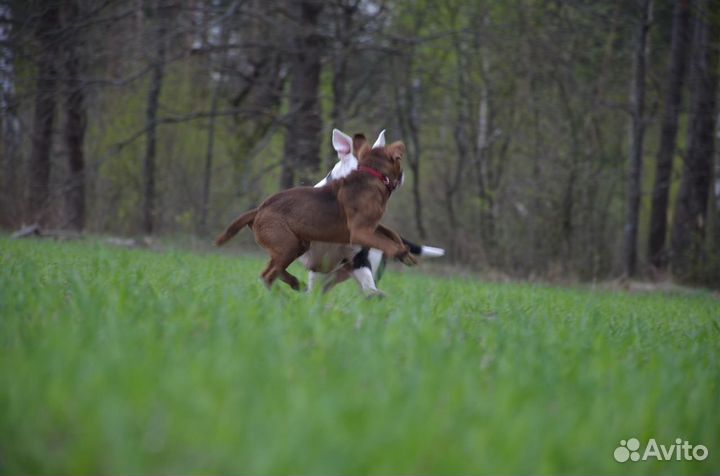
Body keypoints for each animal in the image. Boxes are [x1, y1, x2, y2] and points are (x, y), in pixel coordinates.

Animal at [215, 136, 416, 288]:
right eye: (399, 160)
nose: (404, 175)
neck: (372, 175)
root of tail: (258, 210)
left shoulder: (371, 226)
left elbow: (391, 233)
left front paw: (406, 253)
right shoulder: (360, 232)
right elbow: (386, 242)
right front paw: (400, 252)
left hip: (296, 245)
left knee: (272, 271)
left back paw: (295, 284)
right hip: (288, 246)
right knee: (268, 275)